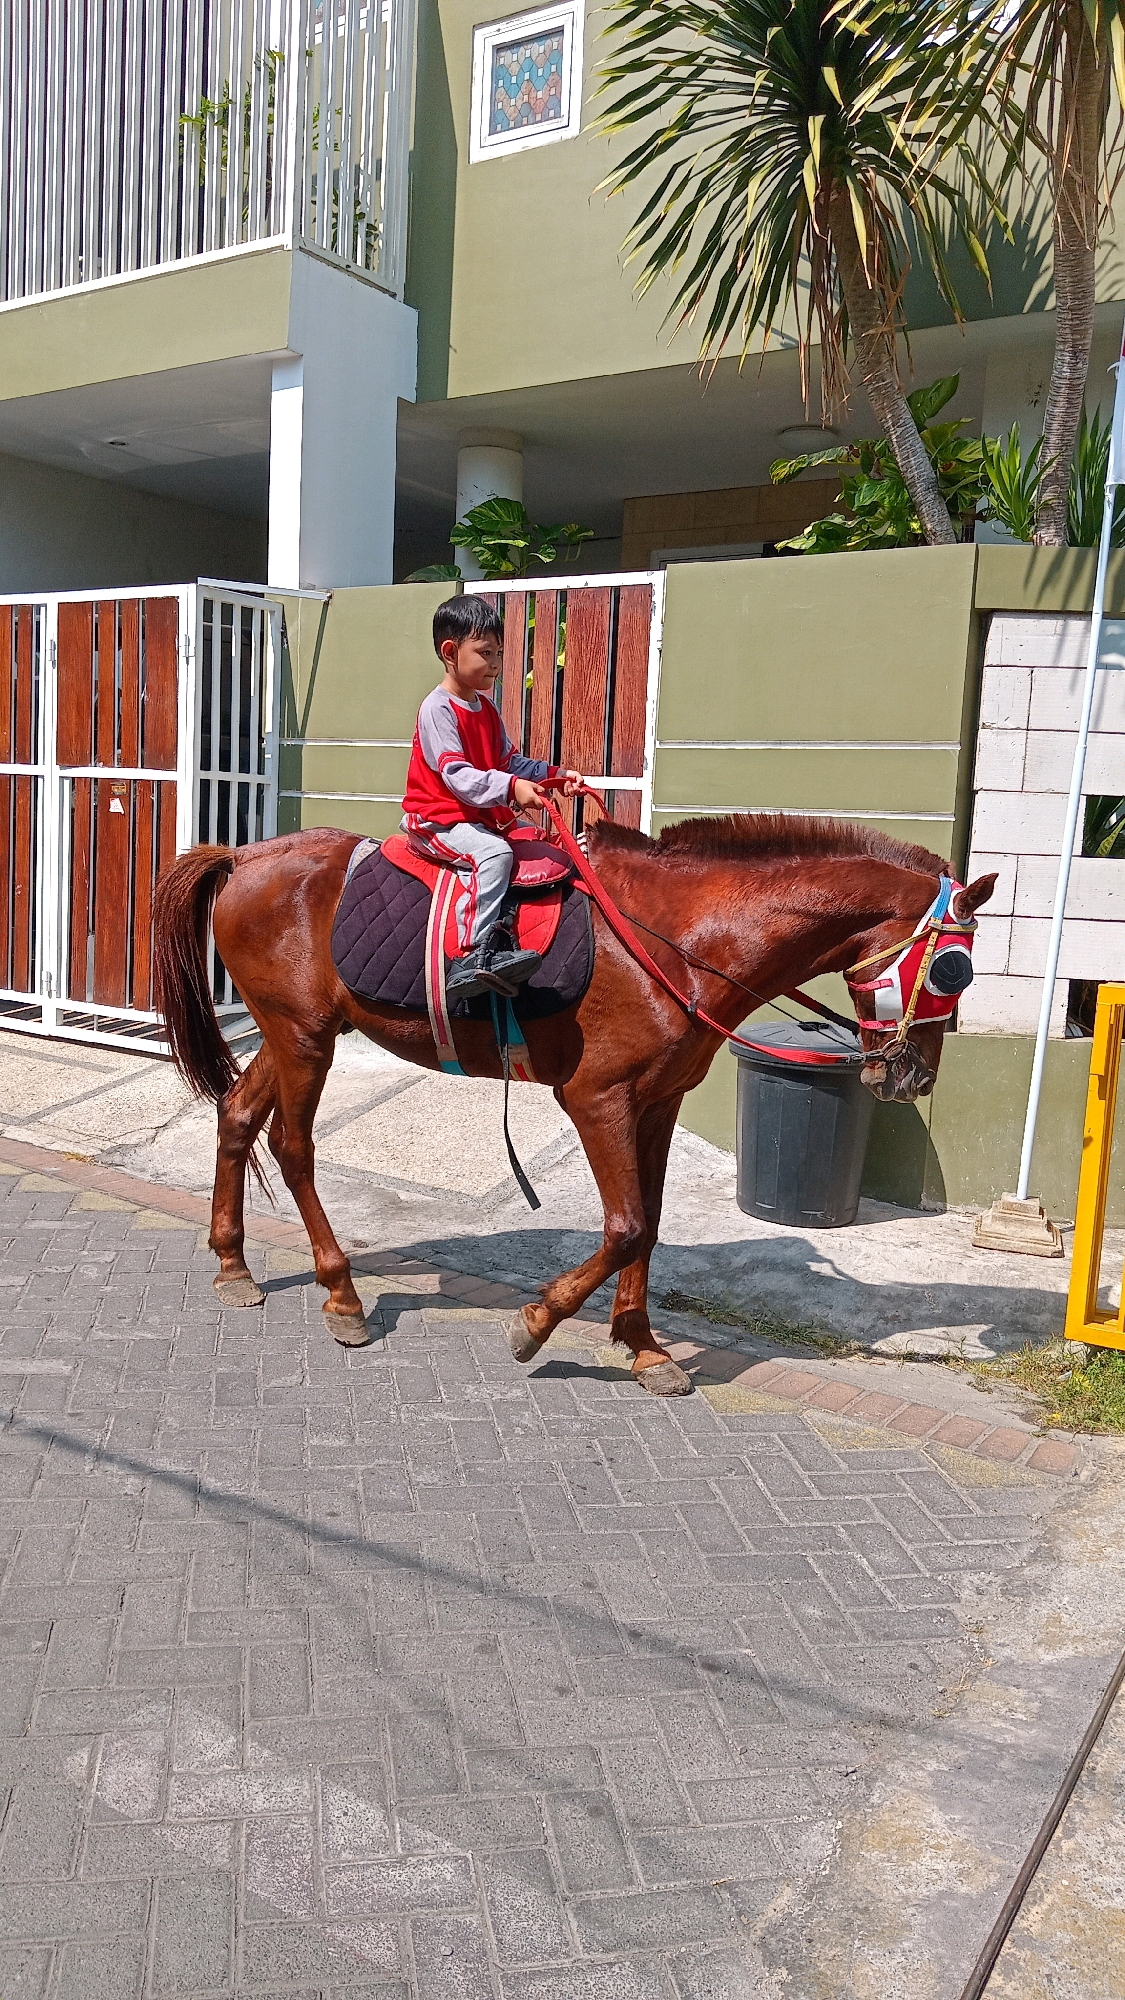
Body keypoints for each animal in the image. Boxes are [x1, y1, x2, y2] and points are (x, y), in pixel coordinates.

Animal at [152, 813, 995, 1395]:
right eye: (952, 969)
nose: (912, 1078)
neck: (683, 936)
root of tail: (245, 856)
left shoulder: (657, 1103)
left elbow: (649, 1224)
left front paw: (643, 1345)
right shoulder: (597, 1099)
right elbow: (624, 1228)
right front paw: (537, 1322)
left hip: (292, 1031)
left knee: (237, 1115)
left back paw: (233, 1263)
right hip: (304, 1038)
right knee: (293, 1148)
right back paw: (341, 1293)